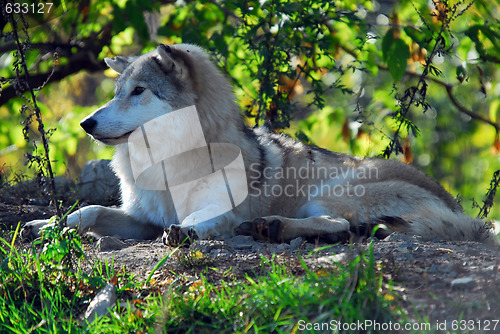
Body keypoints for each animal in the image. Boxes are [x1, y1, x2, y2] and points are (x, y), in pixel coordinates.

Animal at [21, 43, 498, 247]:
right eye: (118, 91)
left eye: (138, 91)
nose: (85, 123)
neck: (170, 163)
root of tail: (460, 211)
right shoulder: (143, 219)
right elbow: (89, 210)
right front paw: (48, 225)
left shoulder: (217, 210)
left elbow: (201, 219)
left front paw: (189, 231)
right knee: (350, 229)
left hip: (332, 192)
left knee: (341, 226)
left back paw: (272, 228)